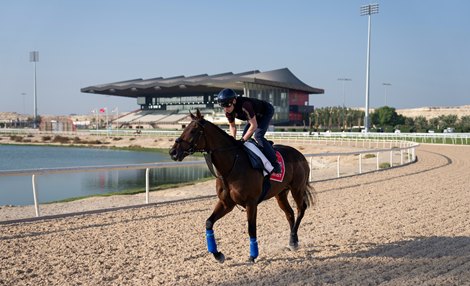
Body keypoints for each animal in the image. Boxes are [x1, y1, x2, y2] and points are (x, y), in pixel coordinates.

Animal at [170, 109, 316, 264]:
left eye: (193, 131)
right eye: (184, 128)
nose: (173, 152)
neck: (231, 166)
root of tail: (300, 154)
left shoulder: (251, 203)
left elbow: (251, 229)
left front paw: (253, 255)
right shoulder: (226, 203)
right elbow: (209, 222)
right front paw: (217, 254)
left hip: (297, 189)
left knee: (301, 209)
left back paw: (293, 239)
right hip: (281, 193)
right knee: (289, 214)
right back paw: (293, 241)